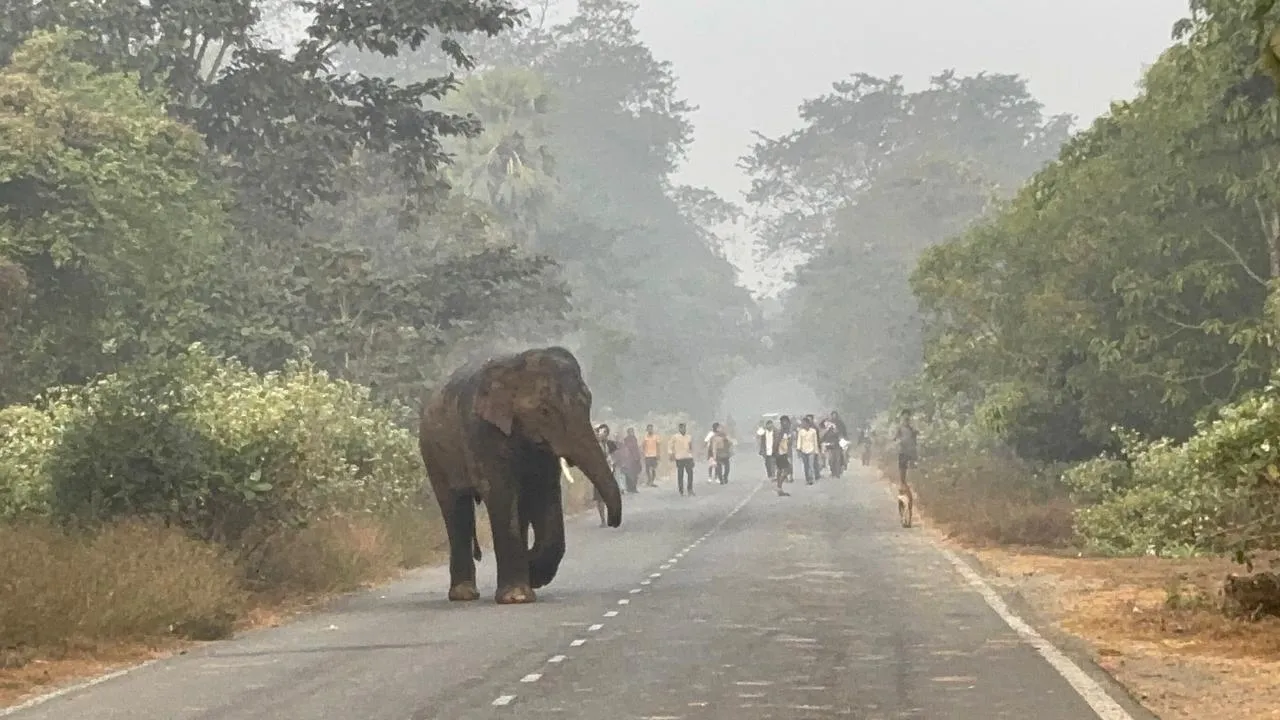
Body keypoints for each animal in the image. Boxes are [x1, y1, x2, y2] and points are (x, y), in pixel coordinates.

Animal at [418, 345, 623, 604]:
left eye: (588, 403)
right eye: (544, 411)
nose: (613, 523)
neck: (516, 365)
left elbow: (544, 493)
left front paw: (532, 571)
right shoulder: (482, 431)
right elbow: (501, 493)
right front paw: (517, 596)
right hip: (433, 454)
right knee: (456, 508)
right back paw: (464, 594)